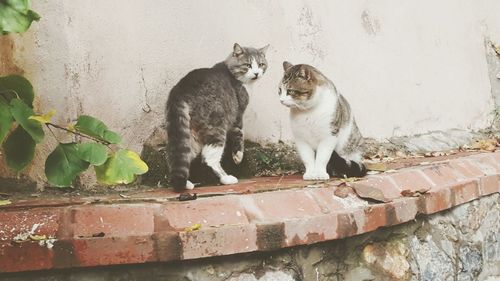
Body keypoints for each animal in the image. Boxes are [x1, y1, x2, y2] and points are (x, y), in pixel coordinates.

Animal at [165, 42, 268, 190]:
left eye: (261, 64)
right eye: (248, 65)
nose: (256, 73)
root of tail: (180, 90)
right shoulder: (238, 116)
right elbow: (239, 134)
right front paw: (238, 156)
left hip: (189, 134)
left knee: (177, 157)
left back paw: (186, 183)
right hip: (216, 126)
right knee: (209, 158)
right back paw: (227, 178)